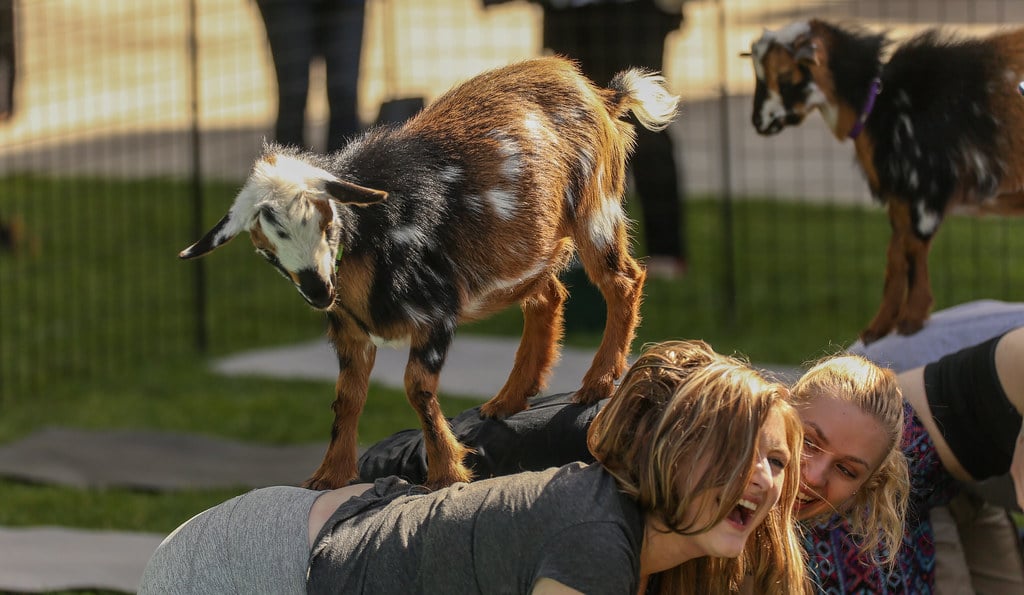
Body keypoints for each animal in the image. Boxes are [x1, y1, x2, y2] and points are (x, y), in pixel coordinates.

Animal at [180, 56, 684, 487]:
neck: (375, 234)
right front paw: (329, 475)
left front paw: (446, 471)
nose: (319, 291)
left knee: (623, 281)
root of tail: (599, 92)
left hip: (595, 206)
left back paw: (597, 379)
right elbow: (347, 398)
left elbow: (416, 388)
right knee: (550, 297)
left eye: (326, 221)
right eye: (265, 247)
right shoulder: (350, 332)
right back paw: (509, 398)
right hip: (528, 250)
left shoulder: (436, 313)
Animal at [745, 19, 1024, 344]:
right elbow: (895, 259)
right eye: (757, 74)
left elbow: (914, 256)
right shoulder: (899, 201)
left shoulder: (924, 195)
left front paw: (911, 320)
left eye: (786, 75)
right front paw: (877, 328)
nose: (758, 123)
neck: (880, 104)